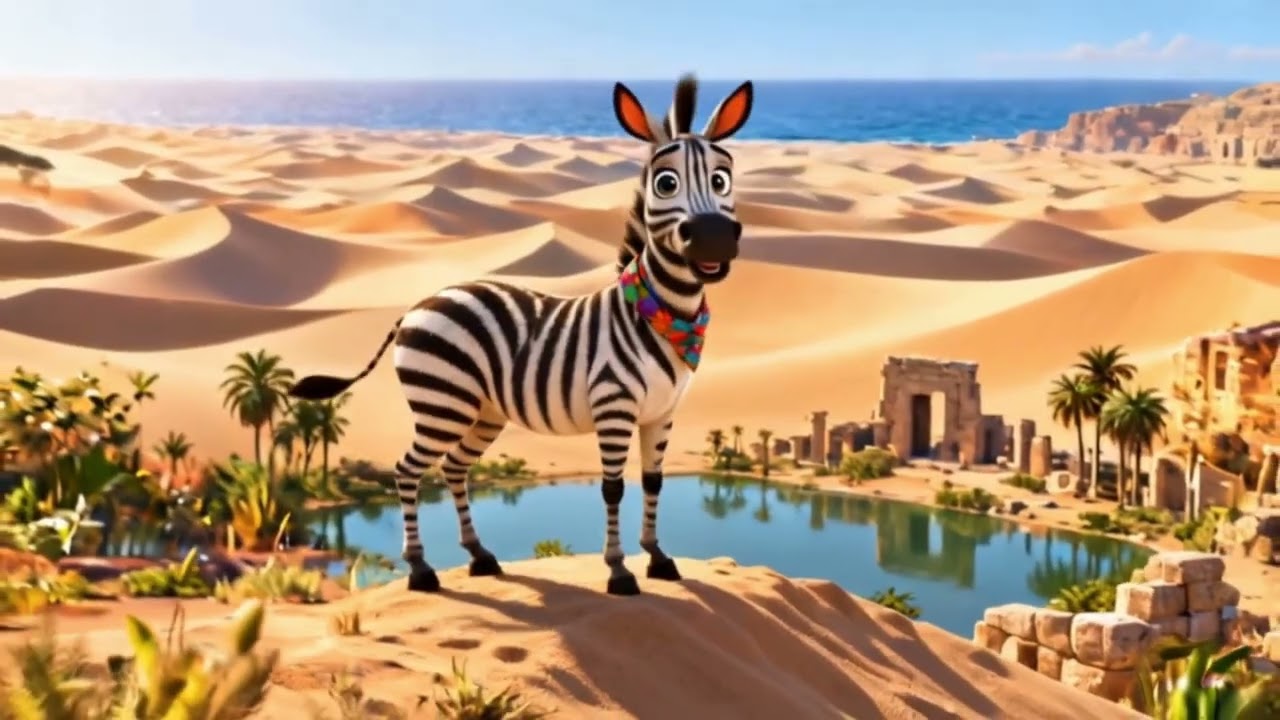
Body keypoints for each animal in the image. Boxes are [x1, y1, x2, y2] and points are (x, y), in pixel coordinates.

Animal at [288, 74, 754, 596]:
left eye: (722, 177)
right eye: (665, 181)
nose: (715, 237)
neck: (658, 315)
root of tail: (416, 306)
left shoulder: (661, 413)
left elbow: (653, 482)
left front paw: (657, 558)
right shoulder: (613, 407)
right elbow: (613, 487)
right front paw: (618, 571)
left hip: (483, 411)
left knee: (454, 466)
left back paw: (480, 557)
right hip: (441, 404)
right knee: (409, 469)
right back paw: (421, 570)